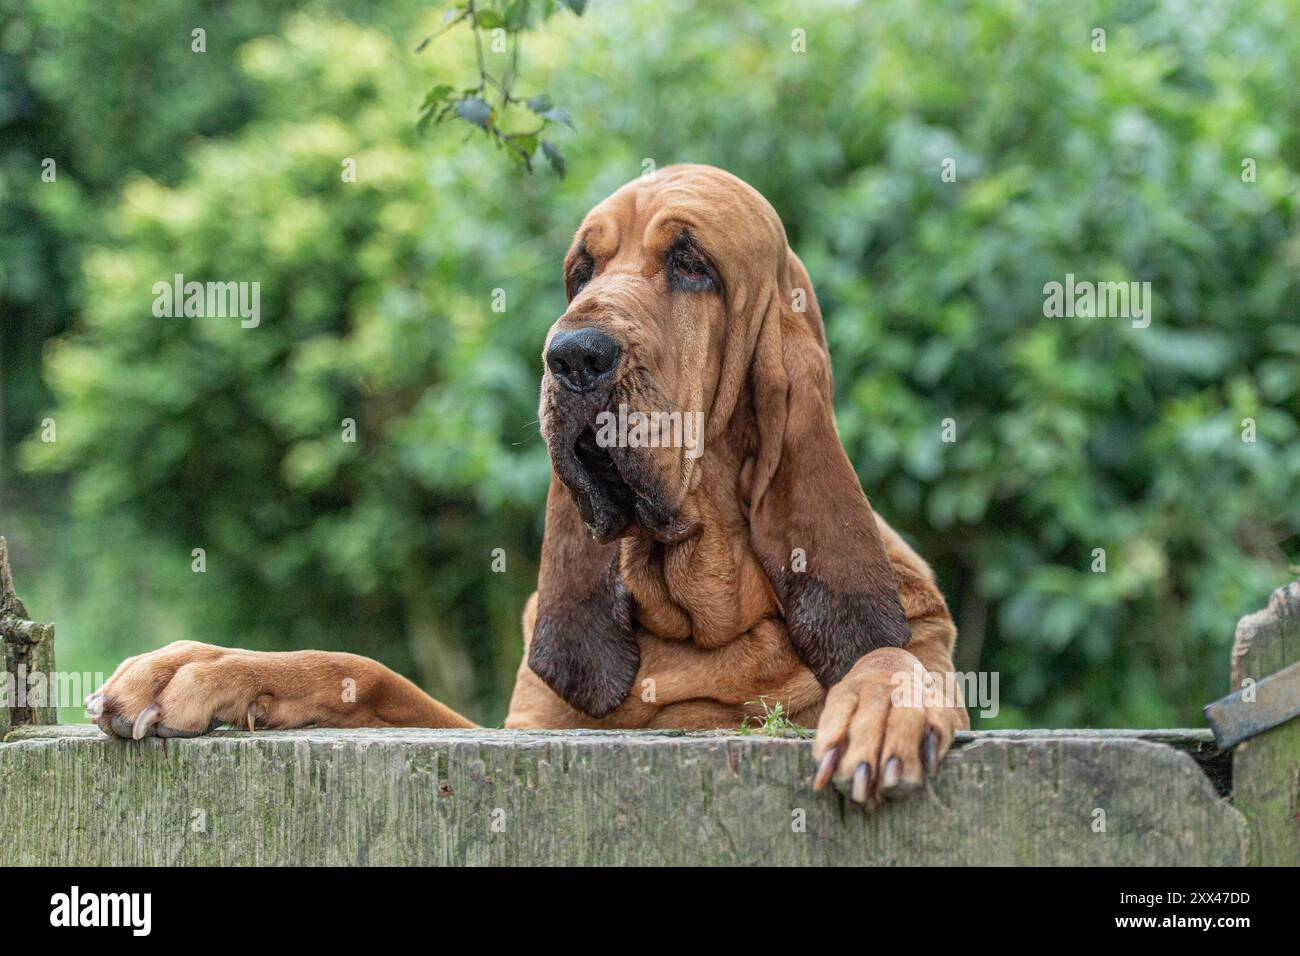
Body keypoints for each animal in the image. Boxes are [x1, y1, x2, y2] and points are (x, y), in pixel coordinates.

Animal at [83, 164, 967, 806]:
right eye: (582, 268)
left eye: (692, 264)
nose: (572, 356)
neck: (698, 614)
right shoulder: (513, 727)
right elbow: (361, 672)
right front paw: (204, 667)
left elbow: (893, 654)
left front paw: (881, 706)